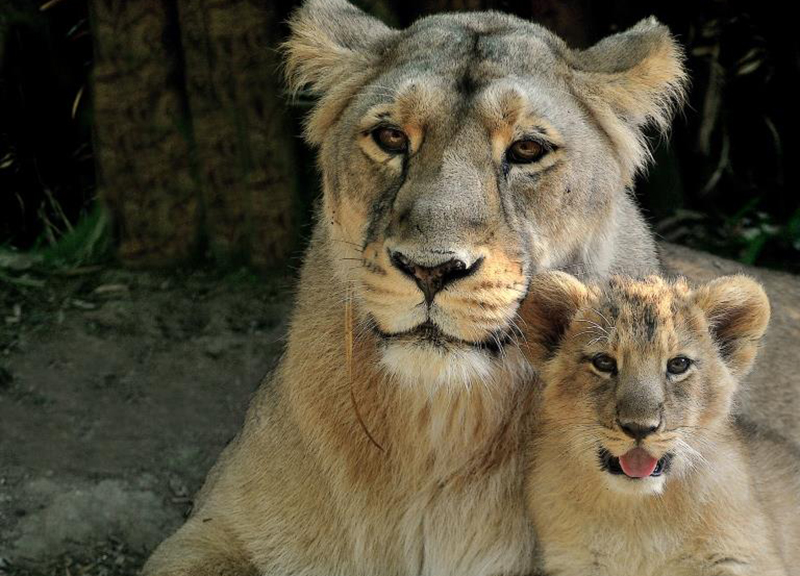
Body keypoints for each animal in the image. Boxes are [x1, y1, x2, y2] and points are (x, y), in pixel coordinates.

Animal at [521, 272, 800, 576]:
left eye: (678, 364)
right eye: (604, 362)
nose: (639, 428)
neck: (638, 514)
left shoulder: (741, 560)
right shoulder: (575, 561)